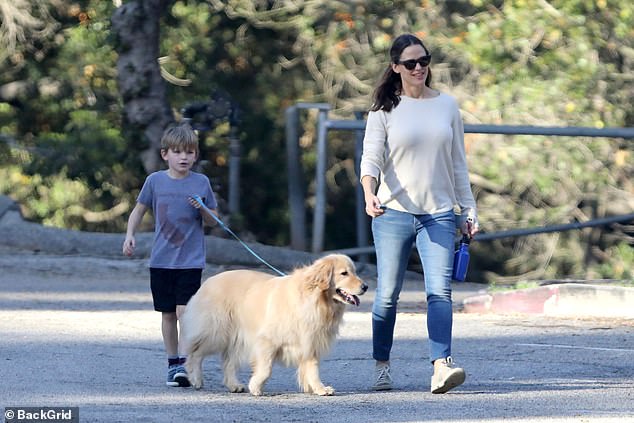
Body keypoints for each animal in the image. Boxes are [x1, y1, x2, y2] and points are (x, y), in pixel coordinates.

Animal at [180, 255, 366, 398]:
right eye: (344, 273)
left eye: (355, 271)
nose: (365, 286)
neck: (315, 299)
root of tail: (208, 281)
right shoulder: (267, 340)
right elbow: (266, 369)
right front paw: (256, 387)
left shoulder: (310, 342)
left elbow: (313, 369)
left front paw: (319, 388)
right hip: (216, 332)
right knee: (195, 354)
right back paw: (196, 379)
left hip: (236, 337)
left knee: (228, 362)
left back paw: (233, 385)